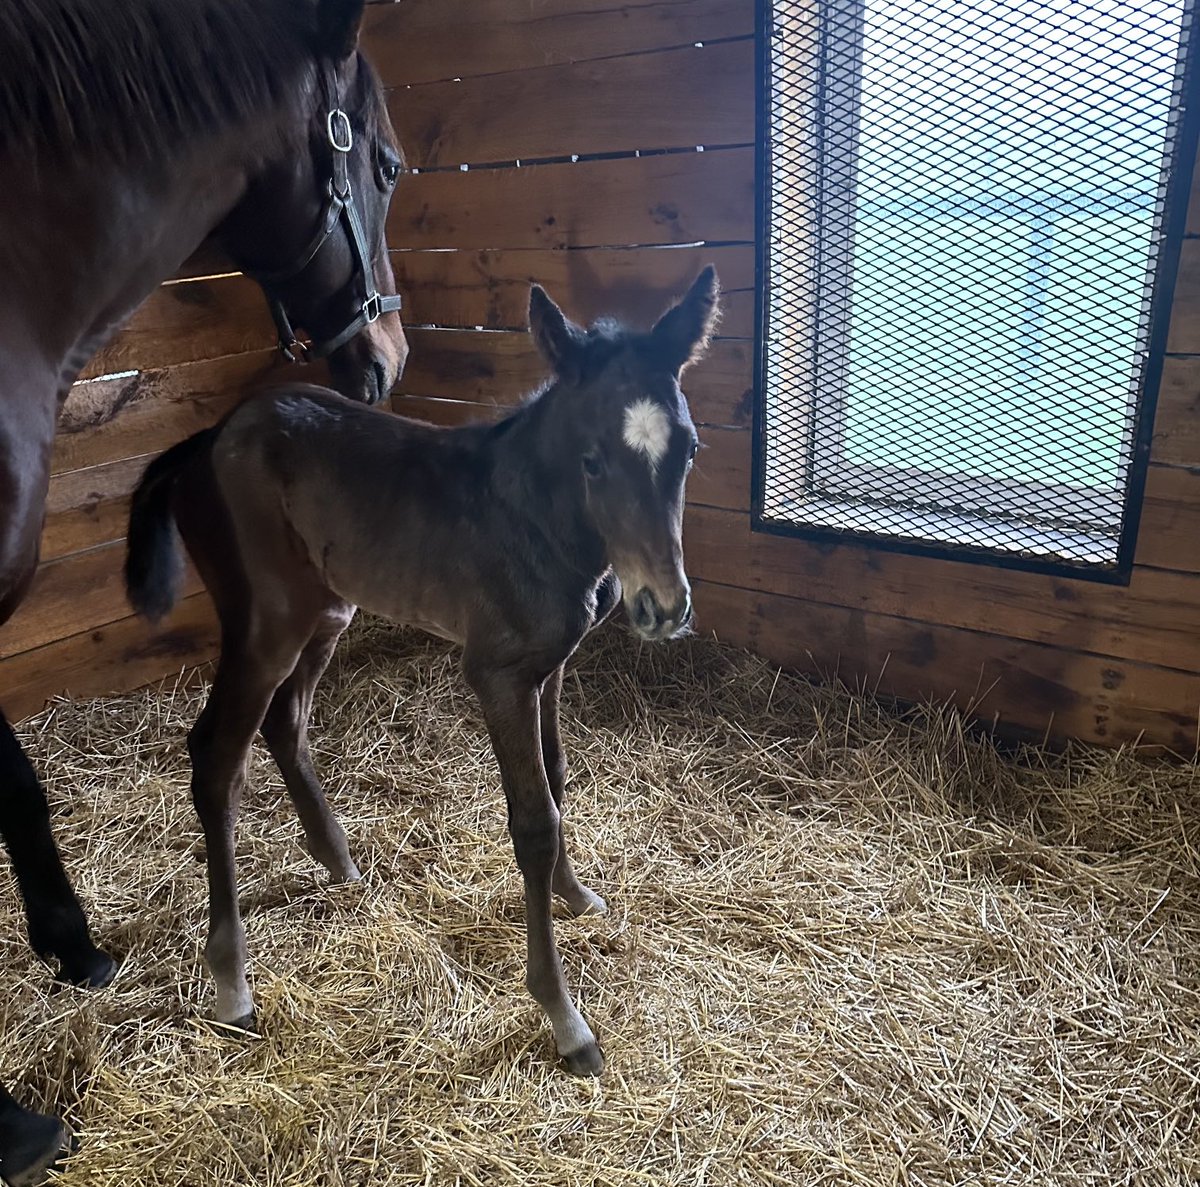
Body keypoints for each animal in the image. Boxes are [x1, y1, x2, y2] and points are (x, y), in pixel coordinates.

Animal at [125, 266, 715, 1075]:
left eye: (687, 451)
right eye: (592, 458)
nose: (663, 606)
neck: (532, 514)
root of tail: (205, 441)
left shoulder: (550, 667)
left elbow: (558, 780)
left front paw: (577, 894)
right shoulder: (499, 674)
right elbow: (533, 820)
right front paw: (566, 1019)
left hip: (328, 609)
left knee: (286, 721)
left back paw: (339, 862)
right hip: (264, 623)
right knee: (217, 754)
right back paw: (233, 985)